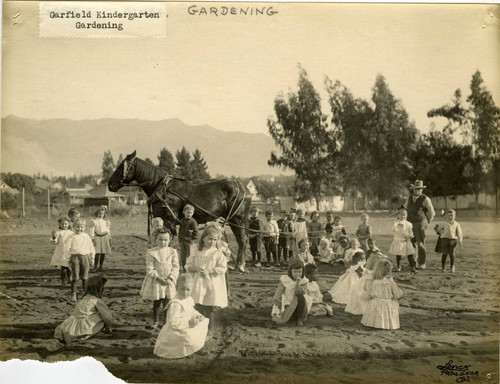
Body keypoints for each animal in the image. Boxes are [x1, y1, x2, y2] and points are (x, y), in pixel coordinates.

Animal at [108, 150, 252, 270]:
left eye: (122, 166)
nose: (110, 184)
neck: (163, 188)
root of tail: (243, 187)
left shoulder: (169, 219)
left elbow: (170, 240)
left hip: (238, 219)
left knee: (243, 240)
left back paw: (240, 265)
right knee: (241, 240)